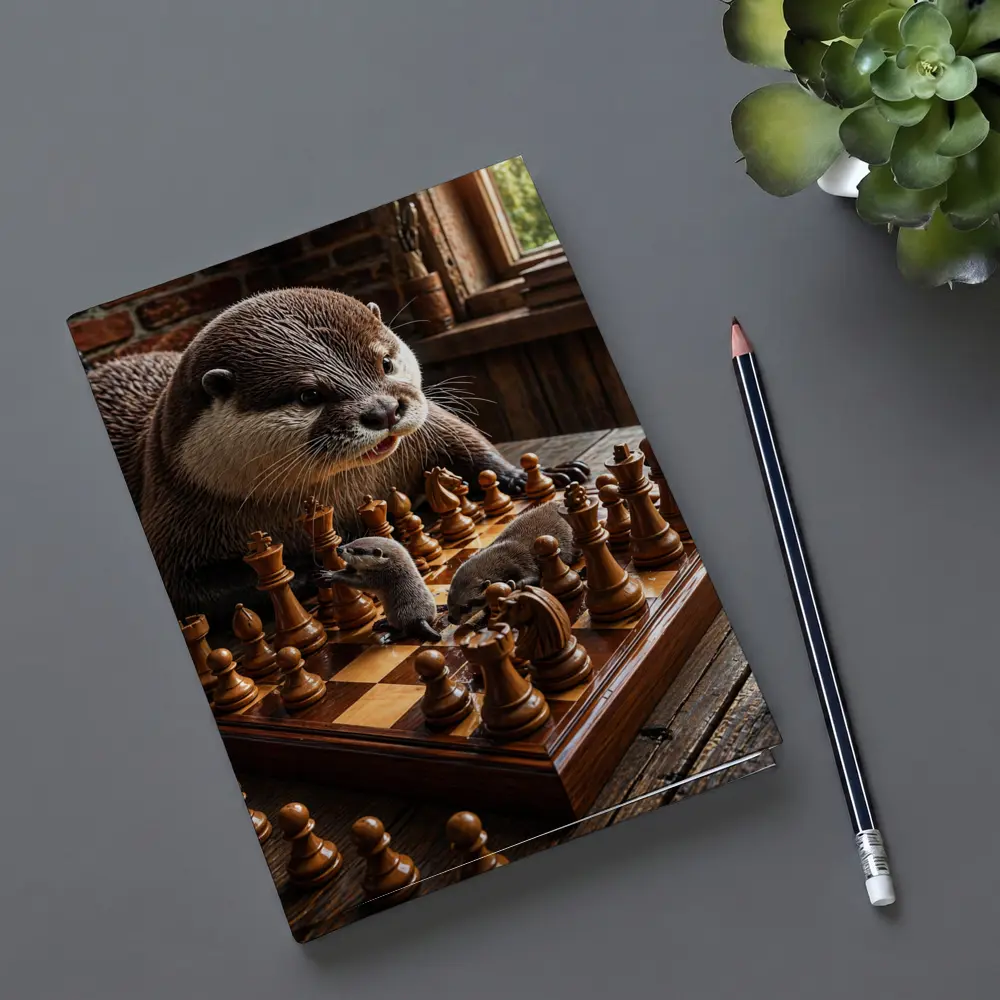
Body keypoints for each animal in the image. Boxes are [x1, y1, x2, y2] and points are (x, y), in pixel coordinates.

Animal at [87, 288, 581, 625]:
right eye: (309, 395)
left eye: (385, 363)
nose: (384, 410)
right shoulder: (176, 505)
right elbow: (183, 588)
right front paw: (310, 571)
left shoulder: (428, 432)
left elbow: (468, 444)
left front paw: (533, 475)